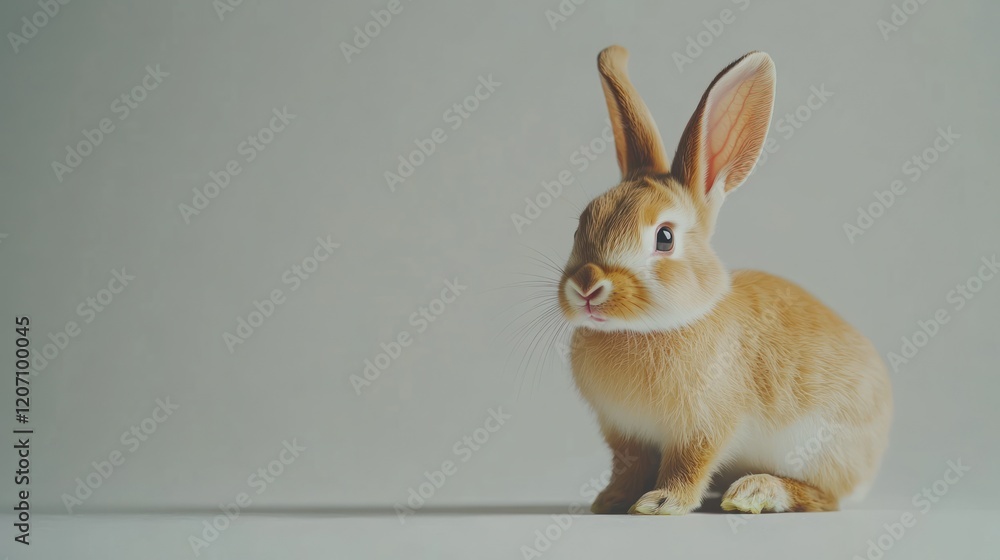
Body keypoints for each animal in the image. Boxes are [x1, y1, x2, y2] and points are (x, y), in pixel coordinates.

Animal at [558, 46, 892, 515]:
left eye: (664, 237)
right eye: (579, 229)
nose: (587, 287)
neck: (649, 328)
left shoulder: (703, 428)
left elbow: (690, 464)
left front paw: (661, 502)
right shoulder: (626, 436)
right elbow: (628, 468)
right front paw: (610, 501)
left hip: (821, 449)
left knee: (823, 497)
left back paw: (754, 492)